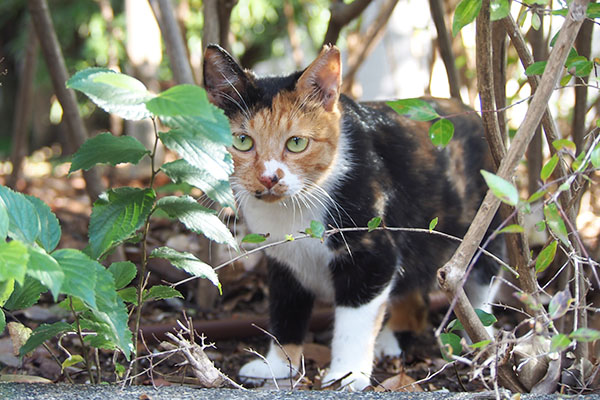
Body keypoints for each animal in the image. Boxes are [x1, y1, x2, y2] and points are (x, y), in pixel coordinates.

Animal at [204, 44, 500, 390]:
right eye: (242, 141)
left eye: (296, 142)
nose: (269, 178)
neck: (294, 208)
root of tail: (470, 109)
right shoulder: (282, 260)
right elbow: (285, 311)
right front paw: (277, 366)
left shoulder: (372, 253)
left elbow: (354, 320)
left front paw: (346, 375)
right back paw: (392, 340)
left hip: (483, 225)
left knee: (483, 278)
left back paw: (481, 338)